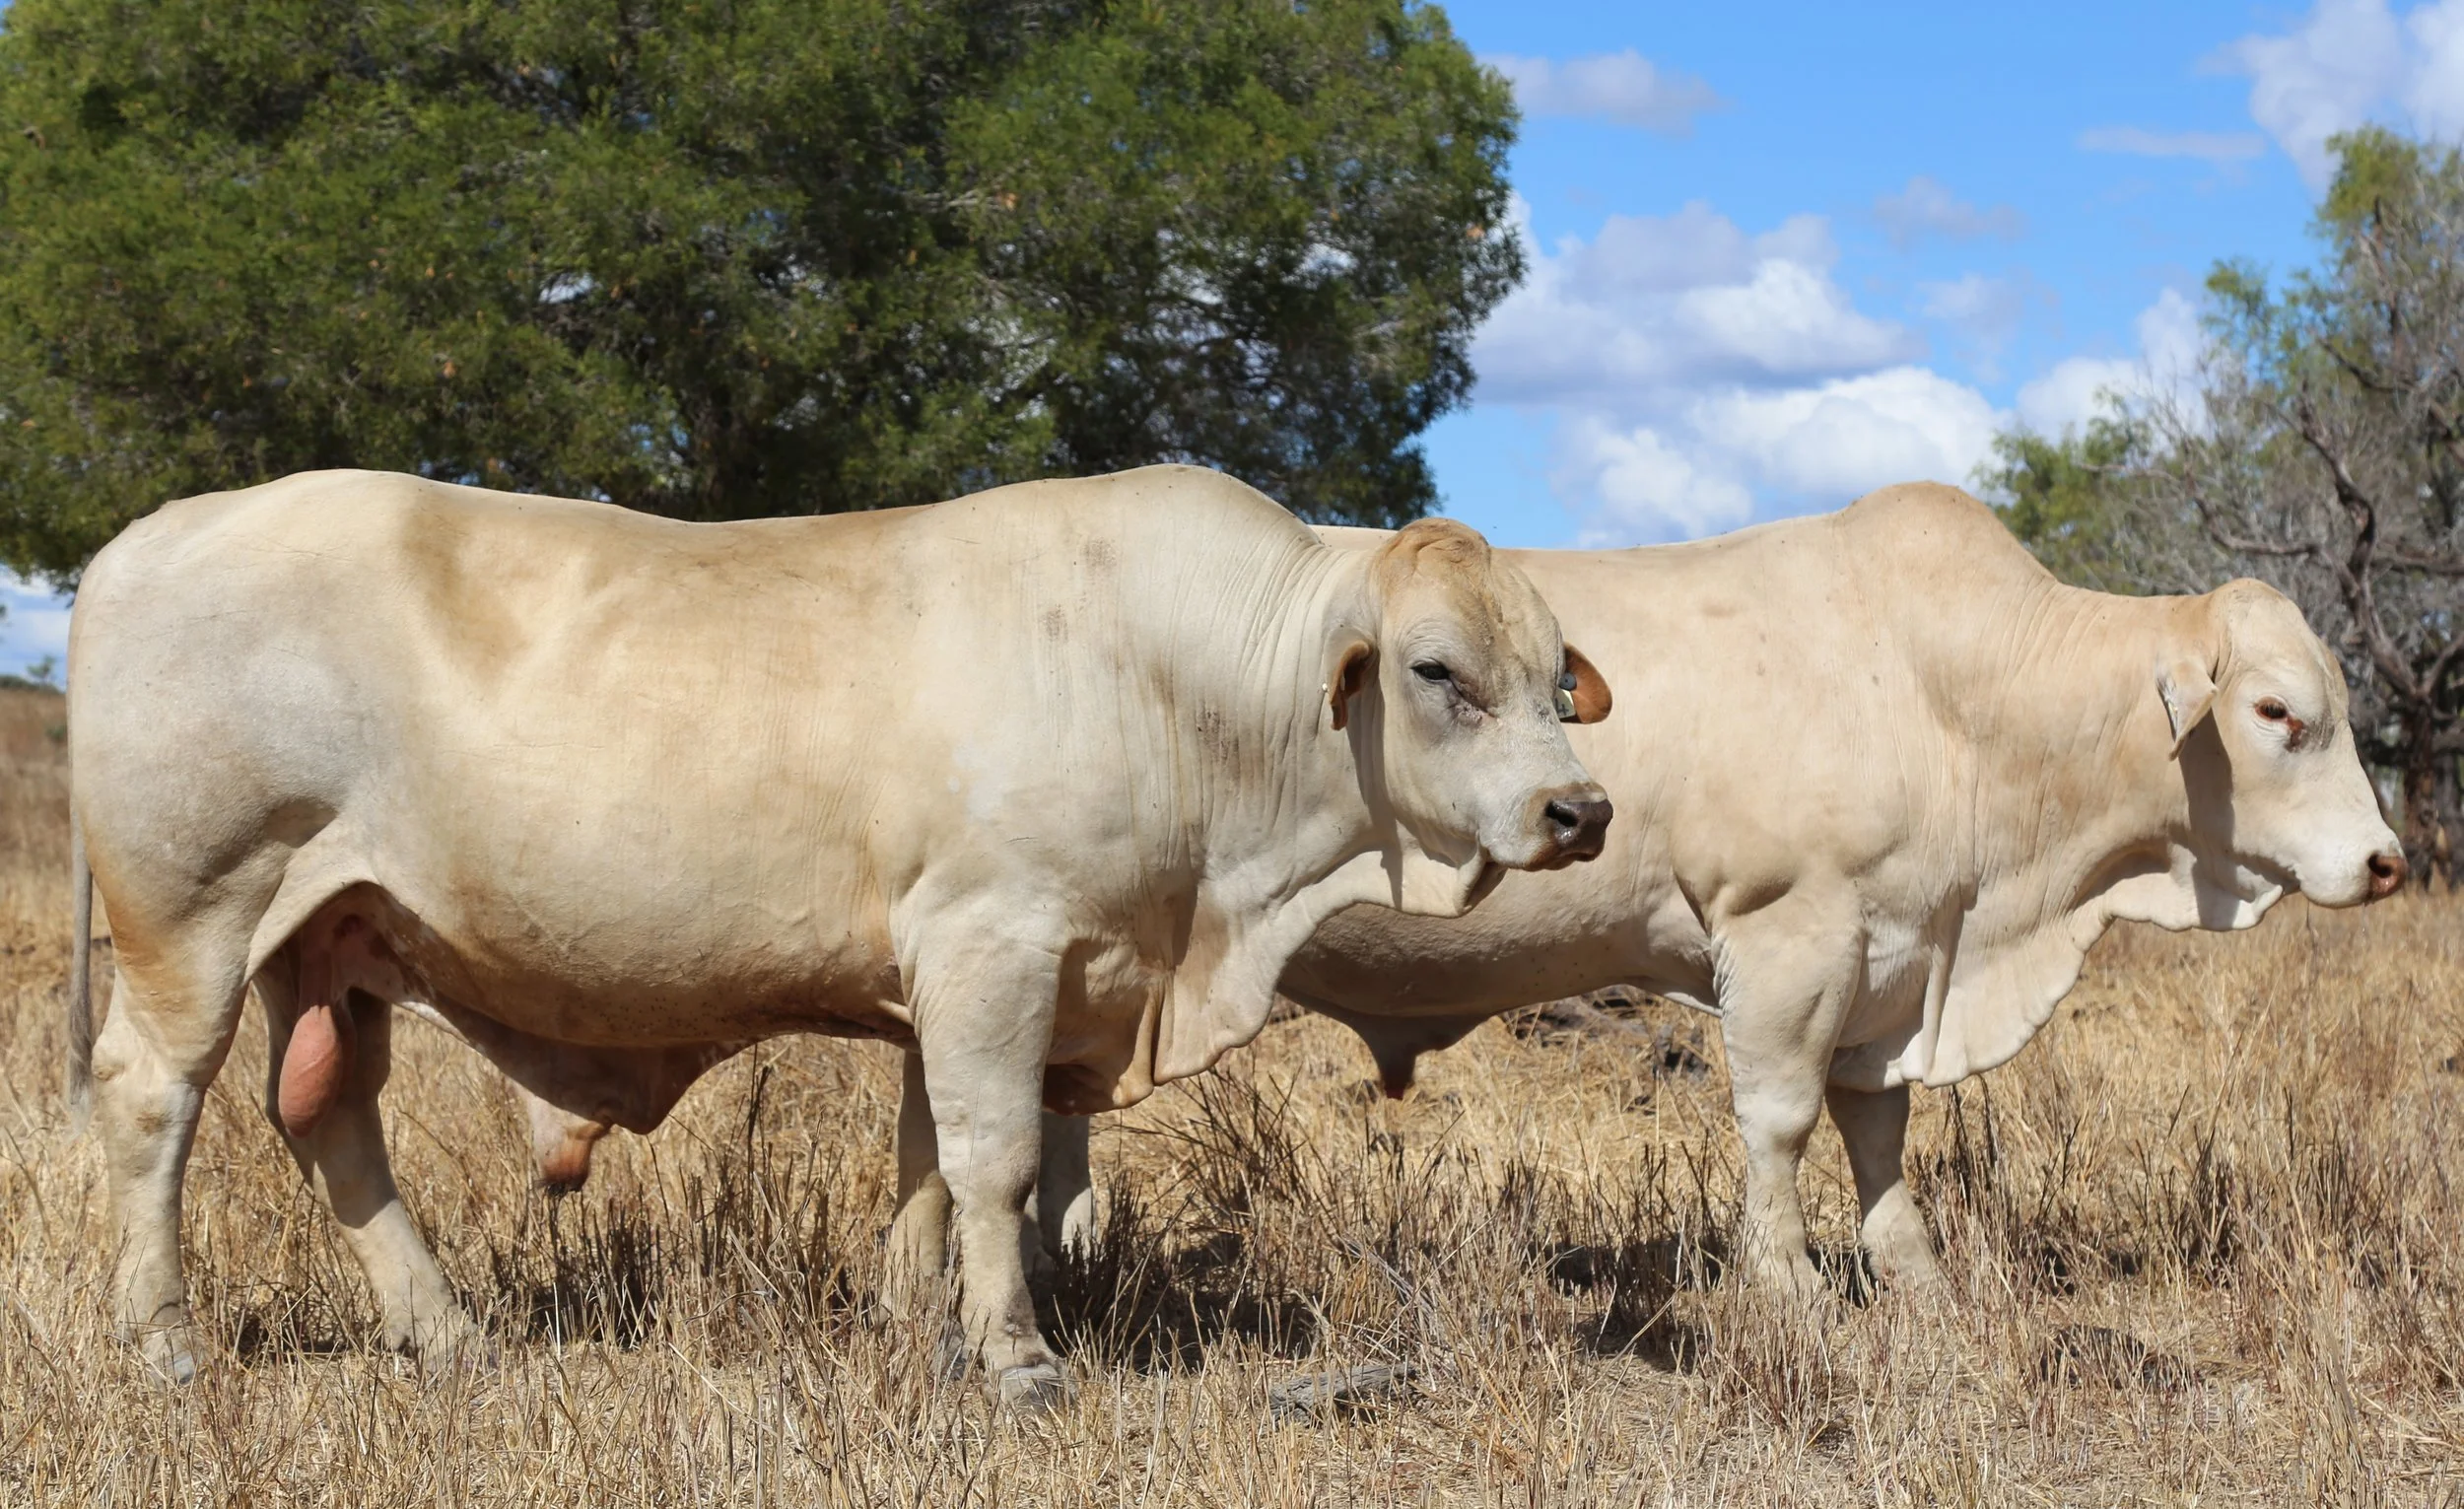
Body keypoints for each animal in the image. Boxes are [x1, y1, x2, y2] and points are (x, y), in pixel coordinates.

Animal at [62, 465, 1614, 1404]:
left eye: (1553, 676)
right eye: (1437, 669)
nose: (1580, 807)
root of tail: (157, 530)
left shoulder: (960, 978)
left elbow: (925, 1168)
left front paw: (914, 1328)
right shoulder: (995, 945)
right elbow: (994, 1162)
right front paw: (1016, 1358)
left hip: (331, 937)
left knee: (328, 1118)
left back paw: (444, 1330)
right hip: (195, 911)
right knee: (150, 1100)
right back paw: (164, 1339)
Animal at [858, 482, 2405, 1302]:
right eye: (2276, 712)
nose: (2387, 860)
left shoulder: (1896, 955)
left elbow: (1879, 1127)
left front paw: (1908, 1270)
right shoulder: (1788, 932)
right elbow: (1780, 1121)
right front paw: (1787, 1284)